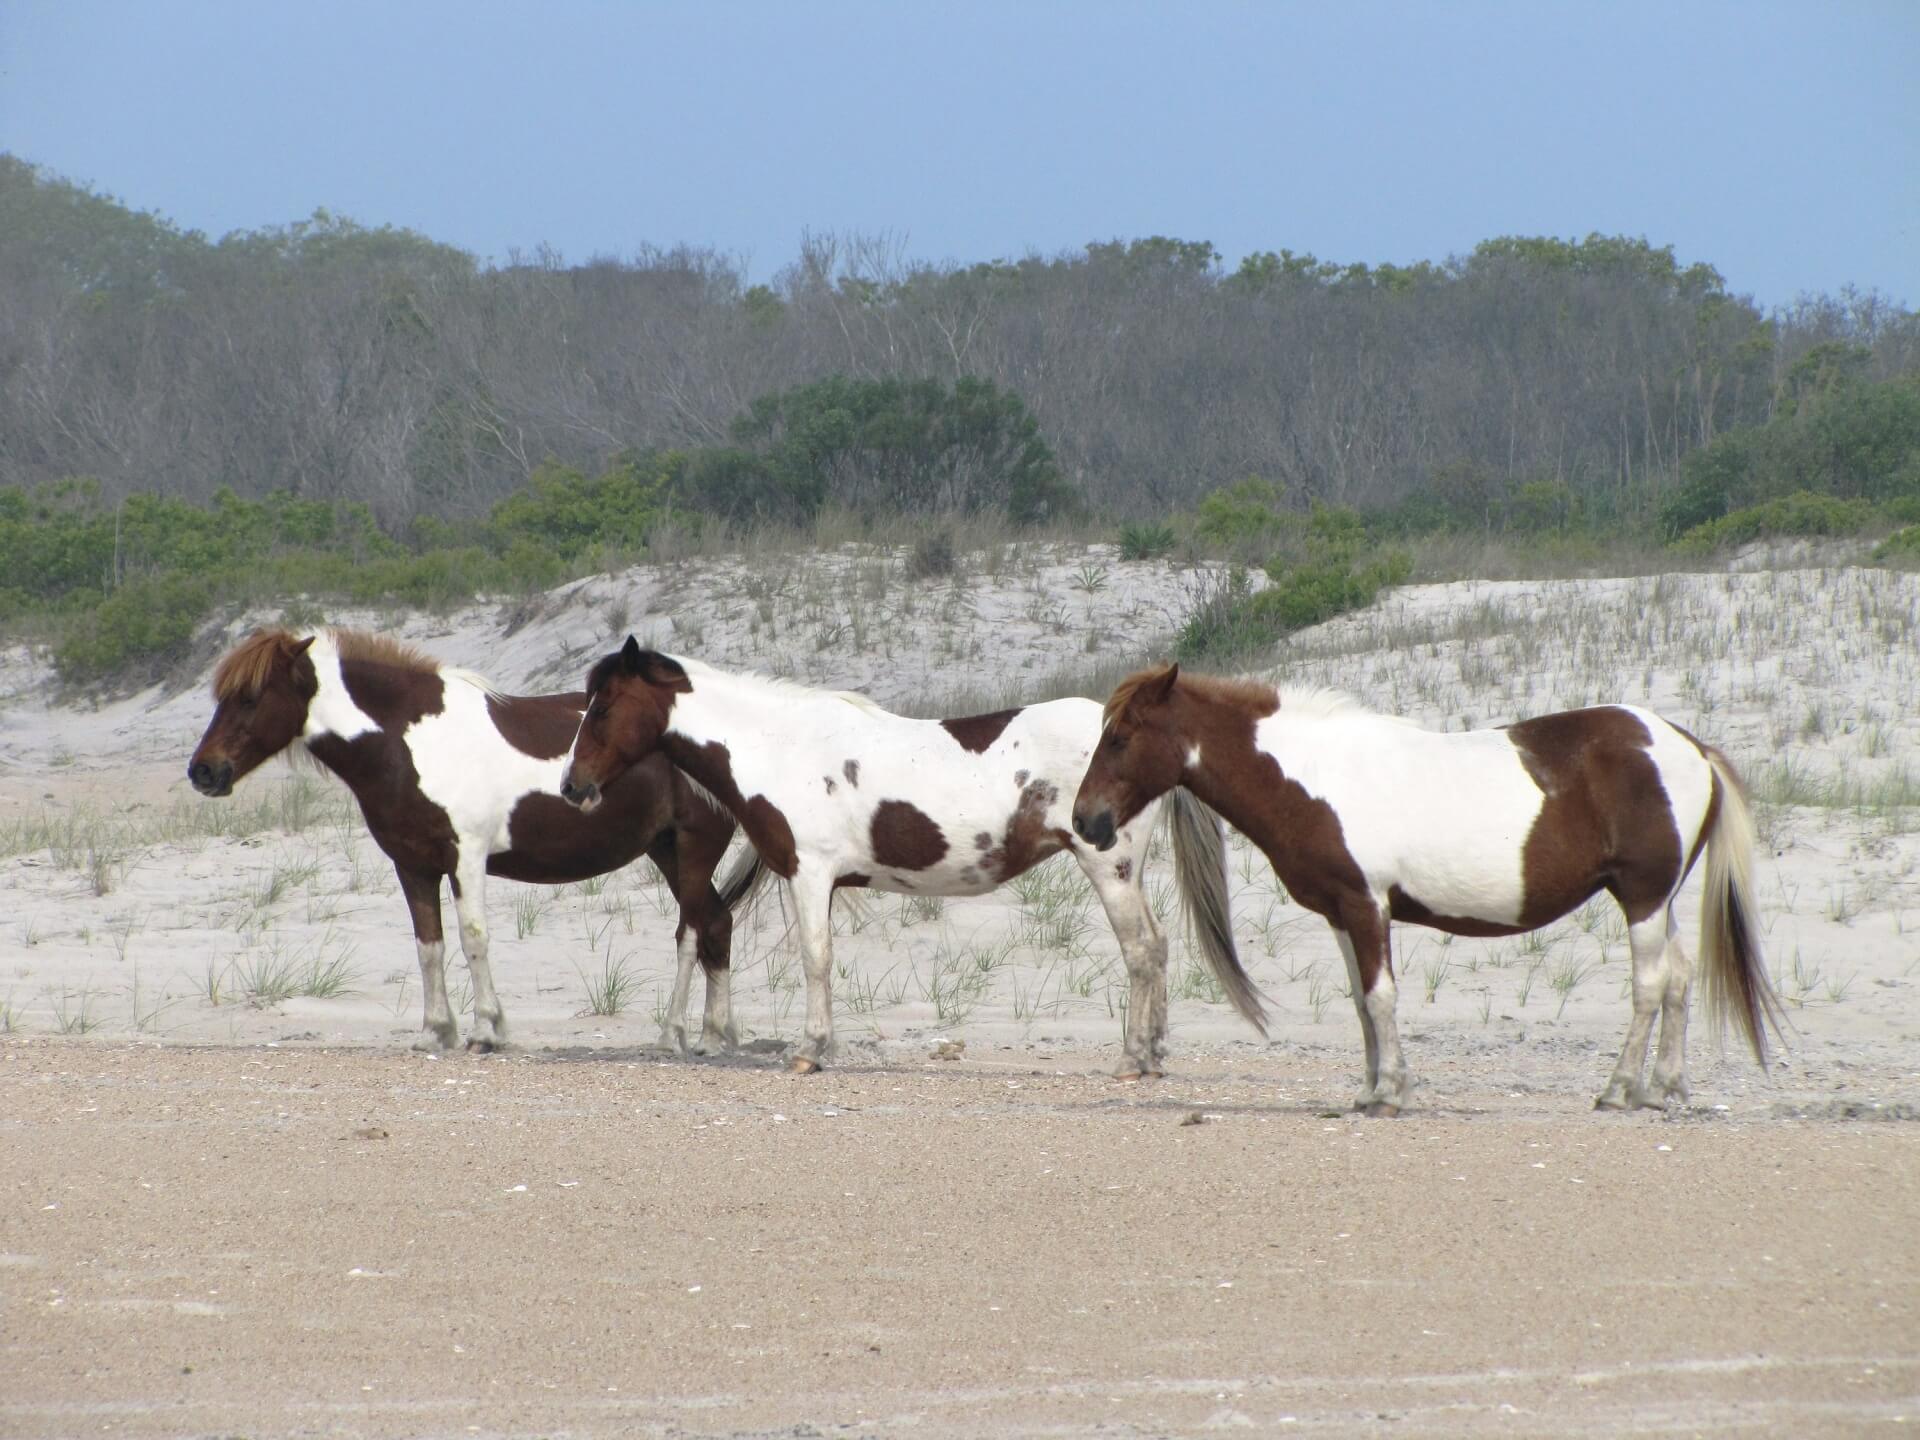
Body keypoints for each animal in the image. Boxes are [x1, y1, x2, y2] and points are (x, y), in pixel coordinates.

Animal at [552, 637, 1259, 1075]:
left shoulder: (809, 874)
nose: (572, 786)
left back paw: (1132, 1059)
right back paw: (1154, 1054)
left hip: (1106, 866)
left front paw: (810, 1051)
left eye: (604, 706)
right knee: (1158, 946)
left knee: (1140, 950)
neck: (779, 745)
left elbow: (815, 959)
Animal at [1075, 672, 1789, 1121]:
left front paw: (1390, 1092)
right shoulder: (1343, 913)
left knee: (1649, 986)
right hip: (1657, 902)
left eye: (1120, 737)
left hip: (1641, 897)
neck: (1314, 775)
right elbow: (1363, 1005)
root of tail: (1690, 747)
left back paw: (1619, 1090)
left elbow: (1380, 998)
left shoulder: (1367, 906)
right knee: (1679, 980)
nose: (1085, 821)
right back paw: (1664, 1087)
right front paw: (1369, 1090)